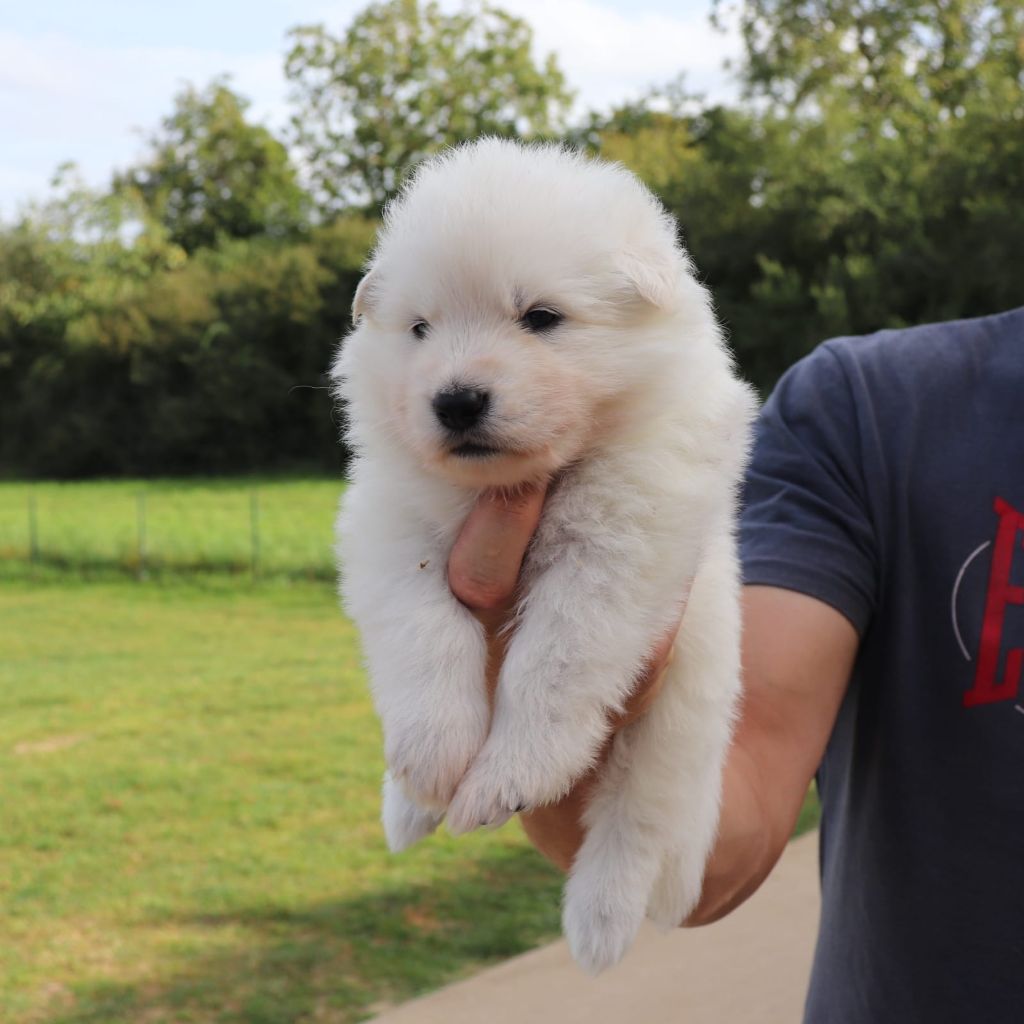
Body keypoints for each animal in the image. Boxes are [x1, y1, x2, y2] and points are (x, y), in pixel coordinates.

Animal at [333, 138, 753, 974]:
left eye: (541, 318)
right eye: (420, 329)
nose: (456, 401)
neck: (511, 485)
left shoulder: (617, 551)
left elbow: (550, 667)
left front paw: (508, 776)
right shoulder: (389, 527)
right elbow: (425, 633)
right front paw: (434, 752)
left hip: (678, 722)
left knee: (635, 825)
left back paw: (599, 925)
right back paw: (408, 804)